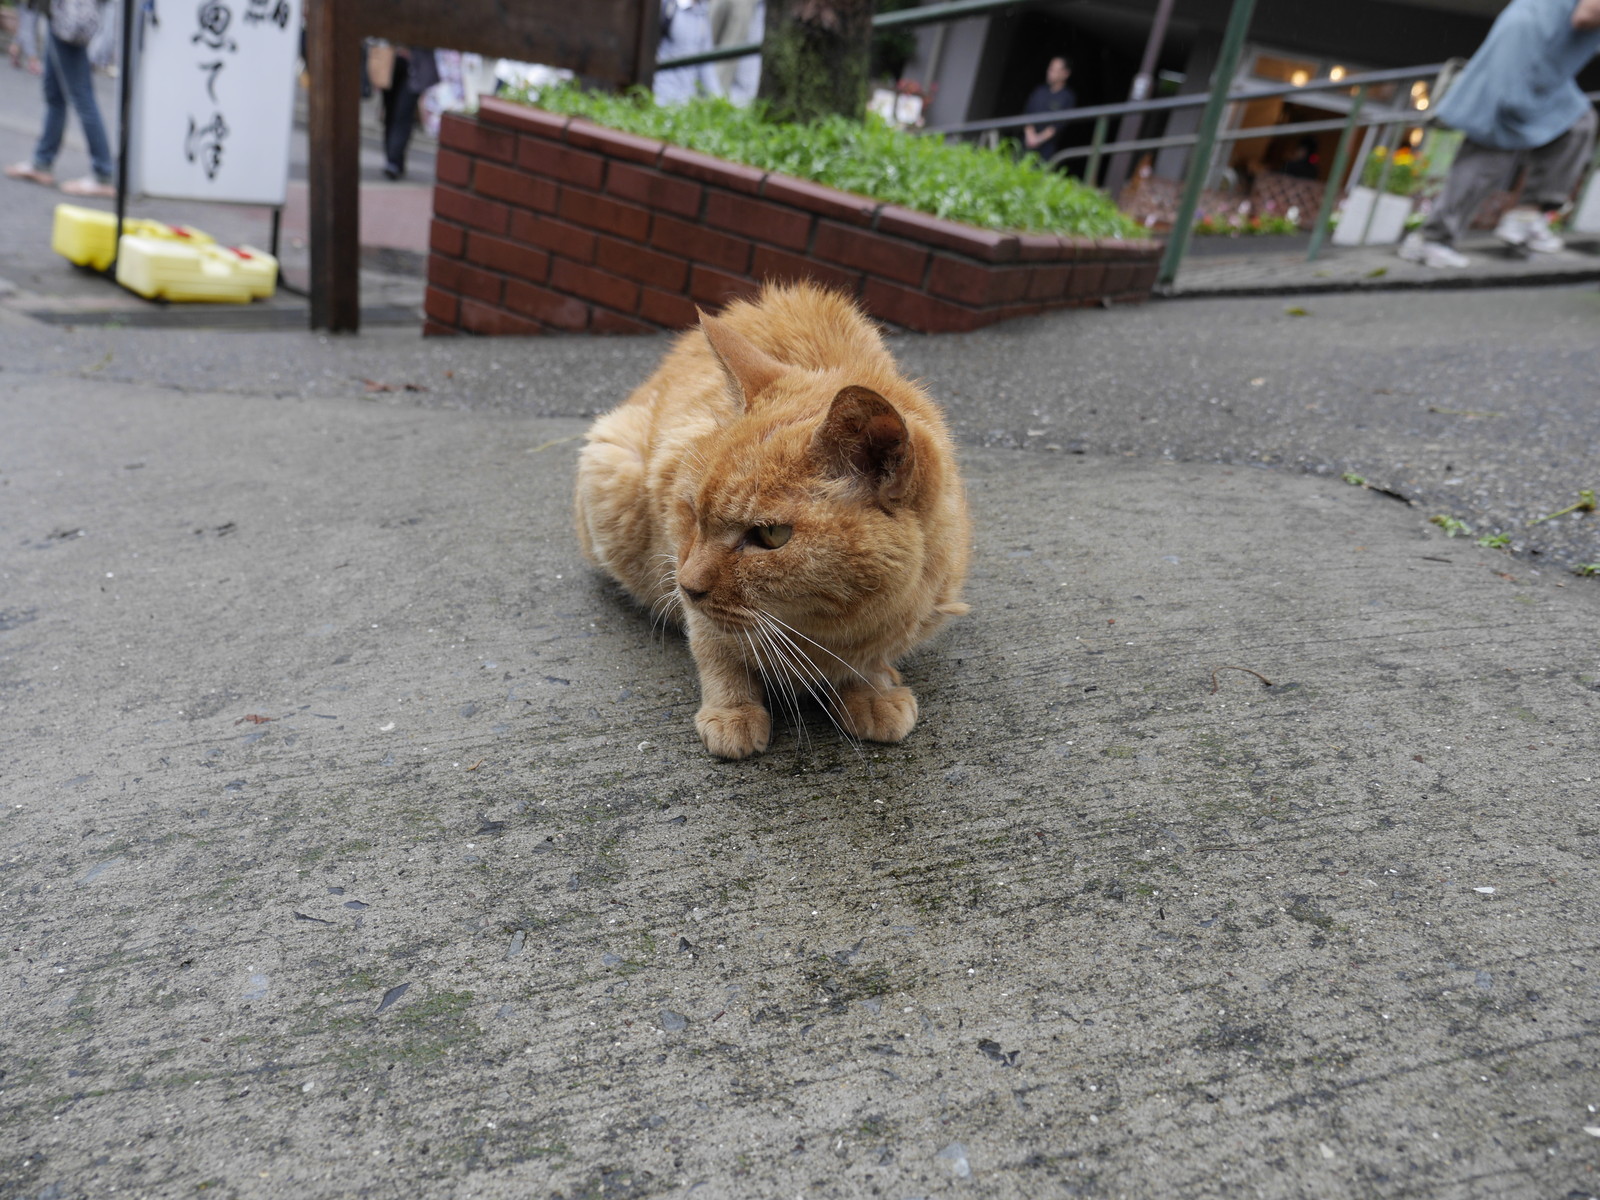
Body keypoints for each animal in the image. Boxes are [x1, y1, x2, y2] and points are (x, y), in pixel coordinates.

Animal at [574, 282, 970, 759]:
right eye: (692, 511)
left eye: (770, 536)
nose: (688, 587)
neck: (822, 631)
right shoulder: (680, 562)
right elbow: (715, 647)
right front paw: (732, 711)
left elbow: (870, 661)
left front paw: (872, 688)